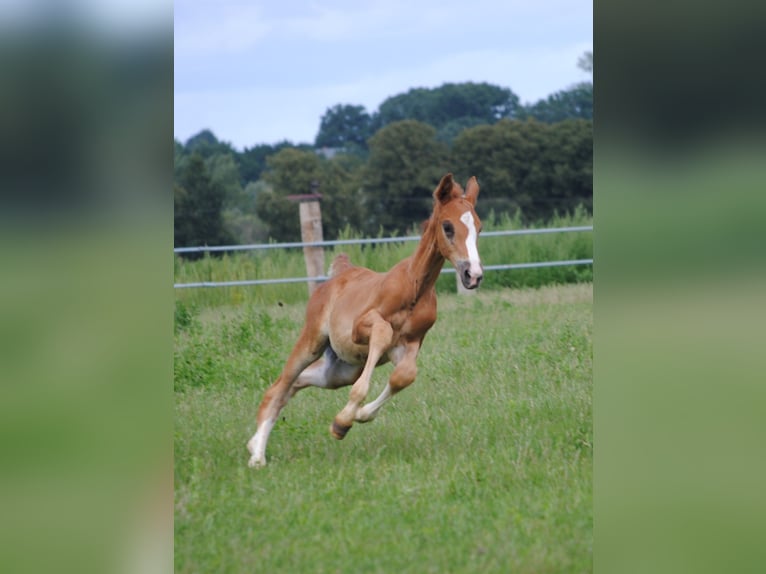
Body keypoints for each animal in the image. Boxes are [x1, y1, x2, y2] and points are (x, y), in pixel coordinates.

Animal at [247, 173, 483, 467]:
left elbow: (404, 376)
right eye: (448, 226)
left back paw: (254, 445)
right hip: (312, 341)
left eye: (479, 227)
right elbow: (382, 333)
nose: (473, 274)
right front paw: (344, 419)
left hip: (339, 370)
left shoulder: (411, 344)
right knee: (278, 388)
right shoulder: (360, 329)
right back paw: (257, 455)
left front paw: (351, 419)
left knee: (296, 384)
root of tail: (339, 274)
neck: (414, 288)